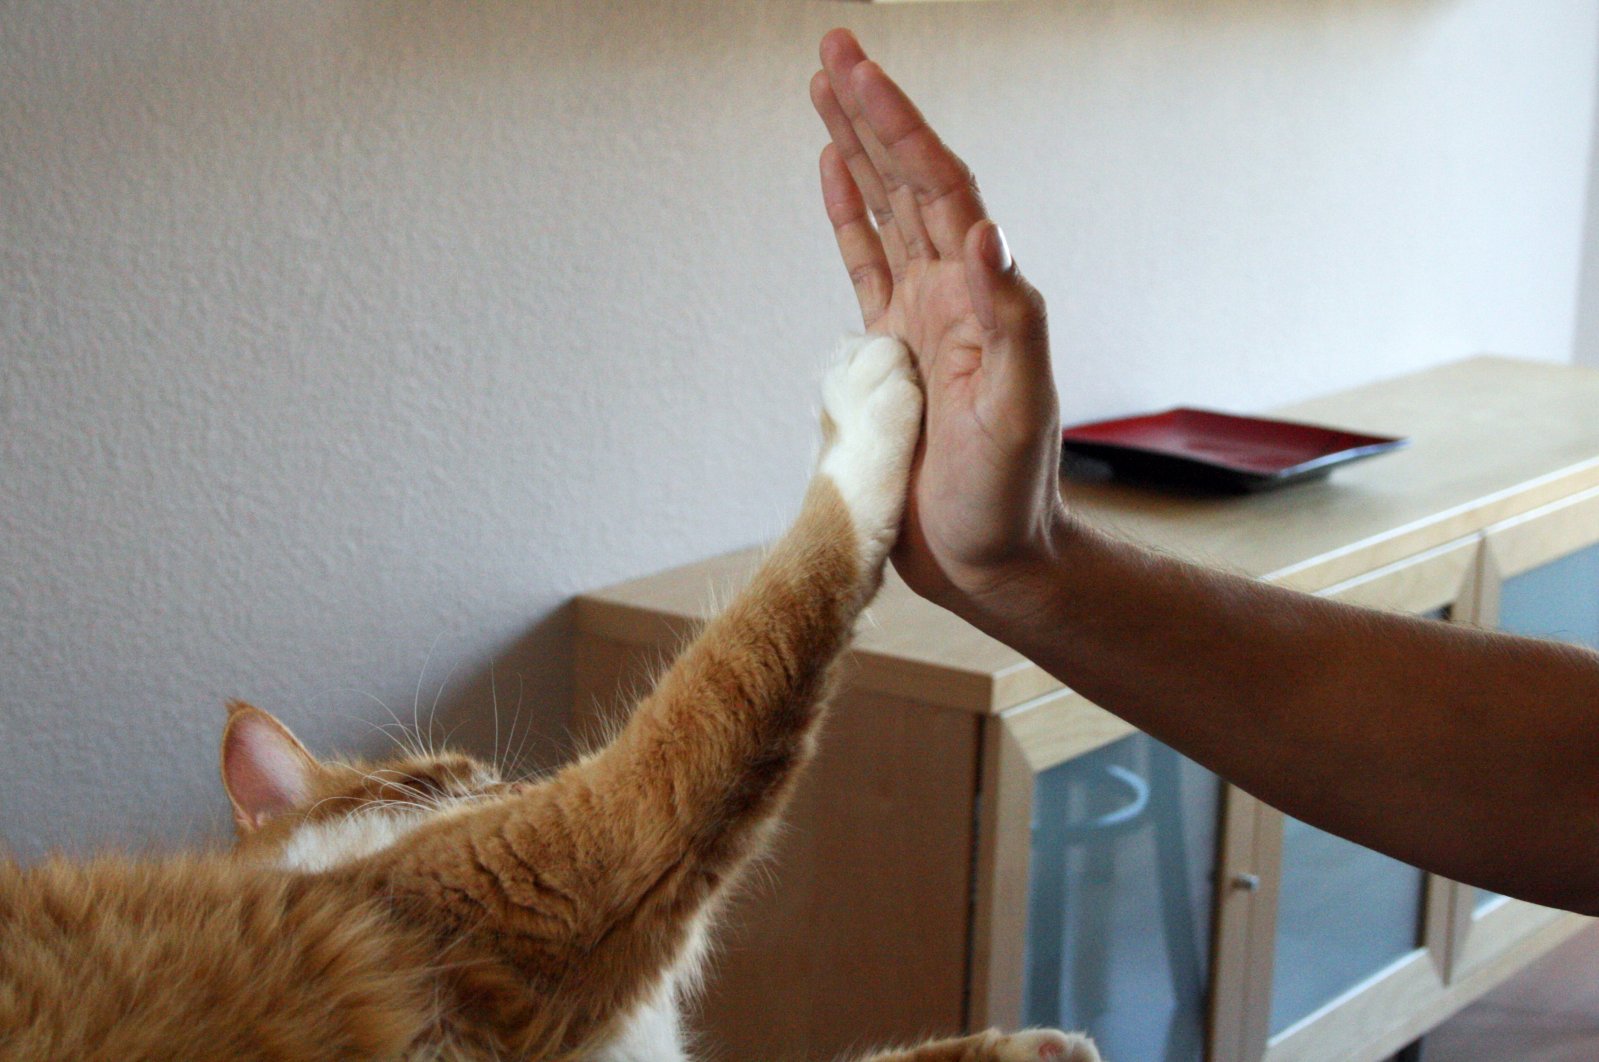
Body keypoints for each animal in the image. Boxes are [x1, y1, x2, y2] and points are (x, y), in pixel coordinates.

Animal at [0, 337, 1100, 1062]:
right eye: (449, 774)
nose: (505, 777)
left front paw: (1034, 1046)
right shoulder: (560, 864)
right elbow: (782, 599)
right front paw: (867, 402)